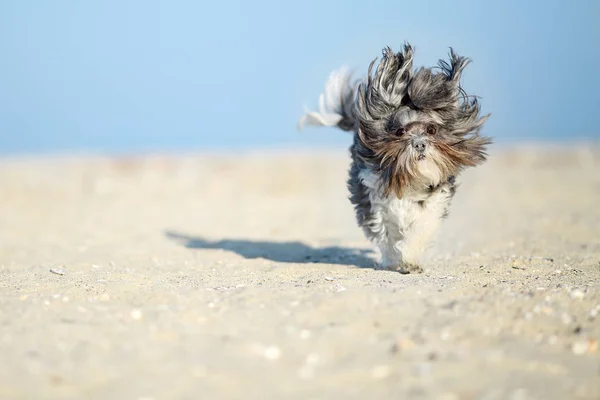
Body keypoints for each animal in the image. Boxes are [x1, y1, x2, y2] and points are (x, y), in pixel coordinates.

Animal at [298, 44, 490, 276]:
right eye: (400, 131)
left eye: (431, 129)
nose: (419, 144)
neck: (410, 178)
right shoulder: (374, 200)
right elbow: (385, 234)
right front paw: (392, 259)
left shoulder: (433, 202)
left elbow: (421, 229)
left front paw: (409, 260)